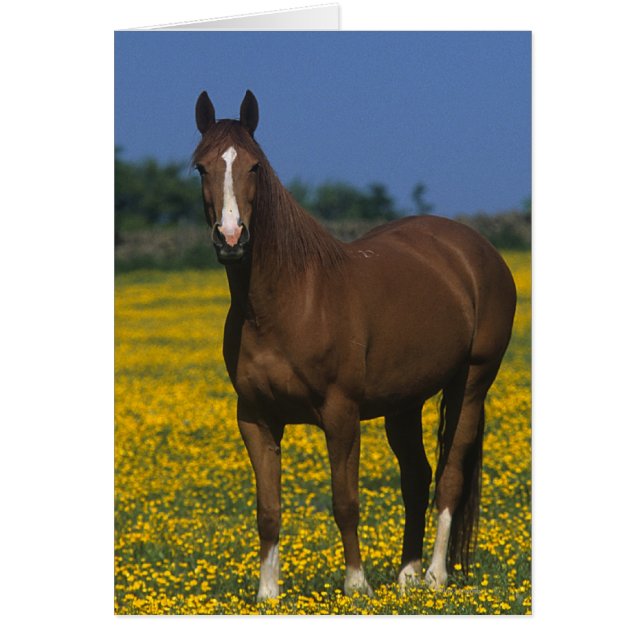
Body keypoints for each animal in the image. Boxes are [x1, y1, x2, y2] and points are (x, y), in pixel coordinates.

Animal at [191, 90, 516, 601]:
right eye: (201, 167)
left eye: (255, 166)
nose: (231, 238)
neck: (285, 303)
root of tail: (475, 250)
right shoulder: (256, 419)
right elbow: (268, 509)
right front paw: (267, 594)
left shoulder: (340, 413)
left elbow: (345, 500)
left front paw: (356, 585)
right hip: (404, 402)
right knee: (417, 478)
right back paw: (407, 575)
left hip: (471, 384)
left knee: (449, 477)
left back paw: (435, 576)